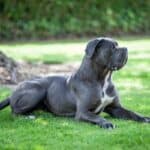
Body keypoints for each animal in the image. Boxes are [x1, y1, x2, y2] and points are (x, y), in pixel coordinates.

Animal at [0, 37, 149, 128]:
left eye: (118, 45)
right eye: (112, 47)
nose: (126, 48)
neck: (102, 79)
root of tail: (13, 92)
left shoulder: (115, 108)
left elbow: (132, 113)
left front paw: (145, 118)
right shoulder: (83, 112)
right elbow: (98, 118)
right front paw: (106, 123)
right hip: (38, 89)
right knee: (14, 112)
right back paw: (29, 117)